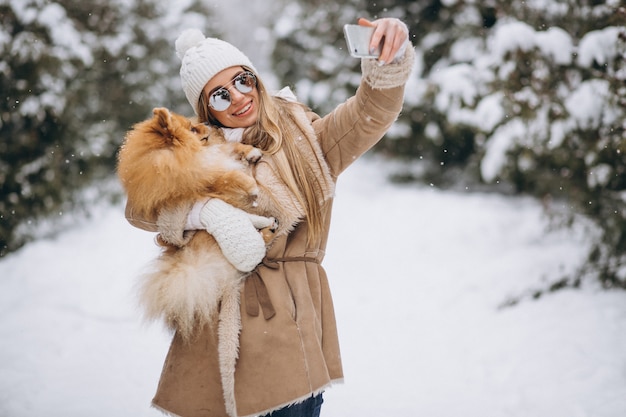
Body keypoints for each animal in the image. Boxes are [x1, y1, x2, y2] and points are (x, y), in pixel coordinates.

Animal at [117, 107, 278, 342]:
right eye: (193, 129)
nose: (211, 124)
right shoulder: (203, 182)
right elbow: (227, 177)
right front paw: (250, 186)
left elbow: (230, 148)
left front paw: (251, 151)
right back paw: (267, 230)